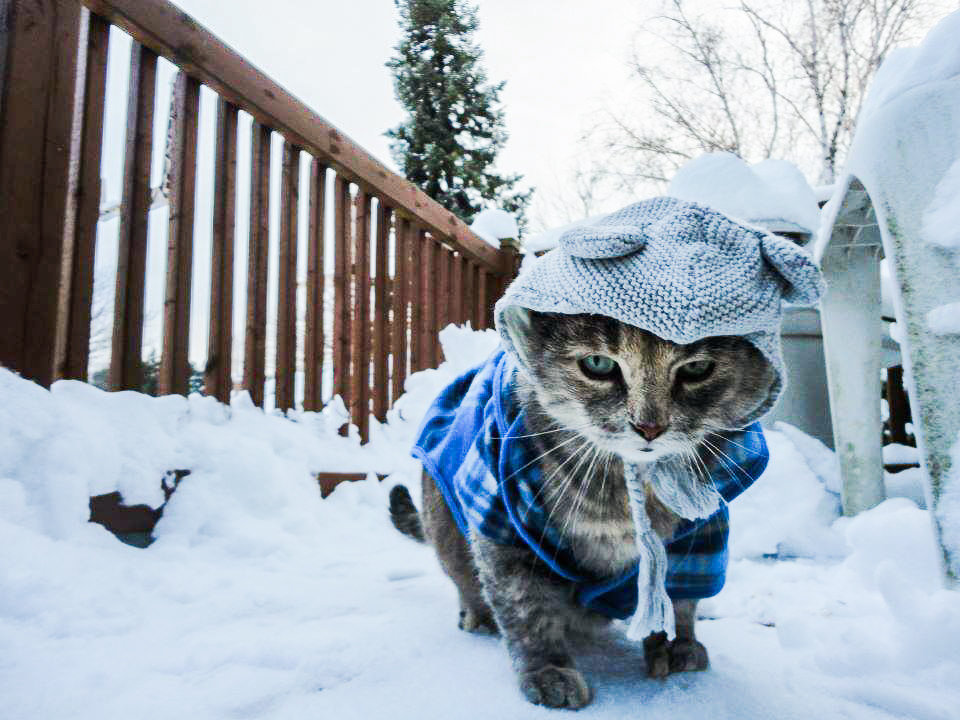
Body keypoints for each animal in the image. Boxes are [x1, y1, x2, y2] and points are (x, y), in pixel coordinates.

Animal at [386, 310, 776, 708]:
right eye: (598, 364)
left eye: (697, 368)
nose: (649, 426)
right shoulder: (505, 520)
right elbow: (525, 605)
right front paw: (548, 671)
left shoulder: (699, 536)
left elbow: (677, 597)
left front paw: (674, 645)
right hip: (443, 516)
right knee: (464, 575)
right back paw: (478, 614)